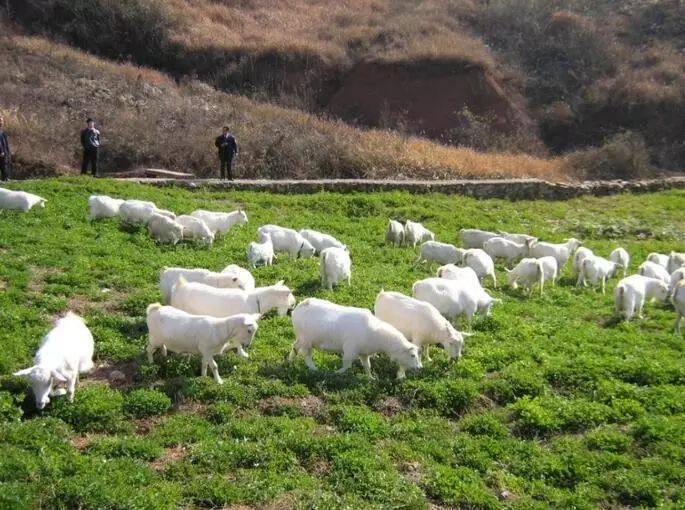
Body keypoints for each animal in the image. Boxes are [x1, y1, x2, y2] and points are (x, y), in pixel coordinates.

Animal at [288, 298, 420, 378]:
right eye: (413, 355)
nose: (420, 368)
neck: (378, 335)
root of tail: (302, 304)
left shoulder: (364, 353)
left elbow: (367, 366)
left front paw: (370, 377)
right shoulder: (349, 348)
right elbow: (347, 364)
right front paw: (337, 373)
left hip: (301, 338)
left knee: (295, 347)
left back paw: (290, 361)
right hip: (306, 340)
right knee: (306, 356)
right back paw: (314, 369)